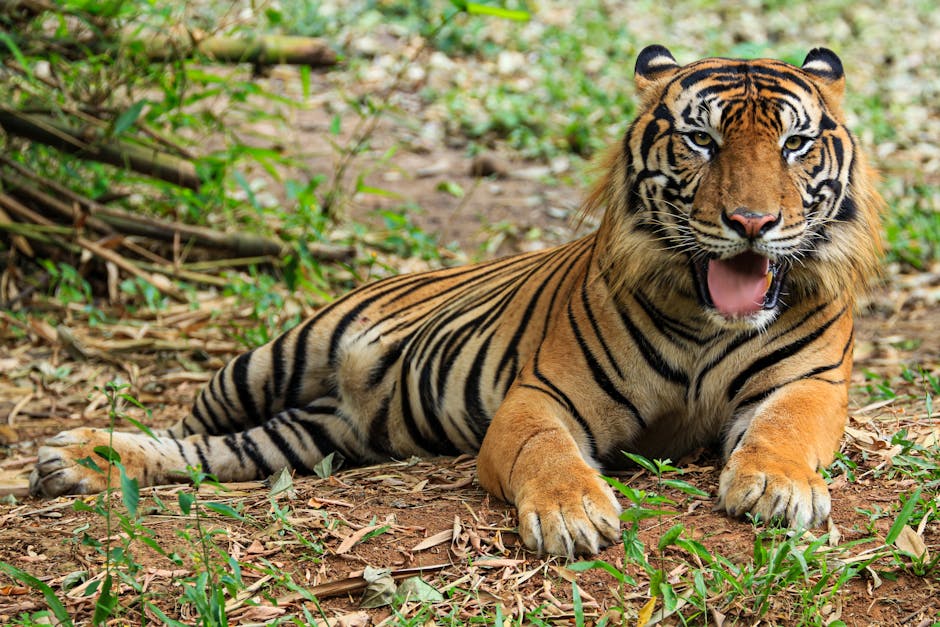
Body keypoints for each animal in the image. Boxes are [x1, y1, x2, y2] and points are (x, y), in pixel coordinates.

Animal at [29, 45, 882, 558]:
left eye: (795, 145)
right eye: (702, 141)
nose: (751, 222)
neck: (708, 320)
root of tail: (349, 397)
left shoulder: (811, 384)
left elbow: (783, 429)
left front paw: (775, 488)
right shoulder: (540, 396)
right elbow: (546, 453)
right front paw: (573, 514)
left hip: (303, 437)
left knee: (216, 453)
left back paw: (76, 464)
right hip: (269, 360)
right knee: (184, 427)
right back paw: (75, 455)